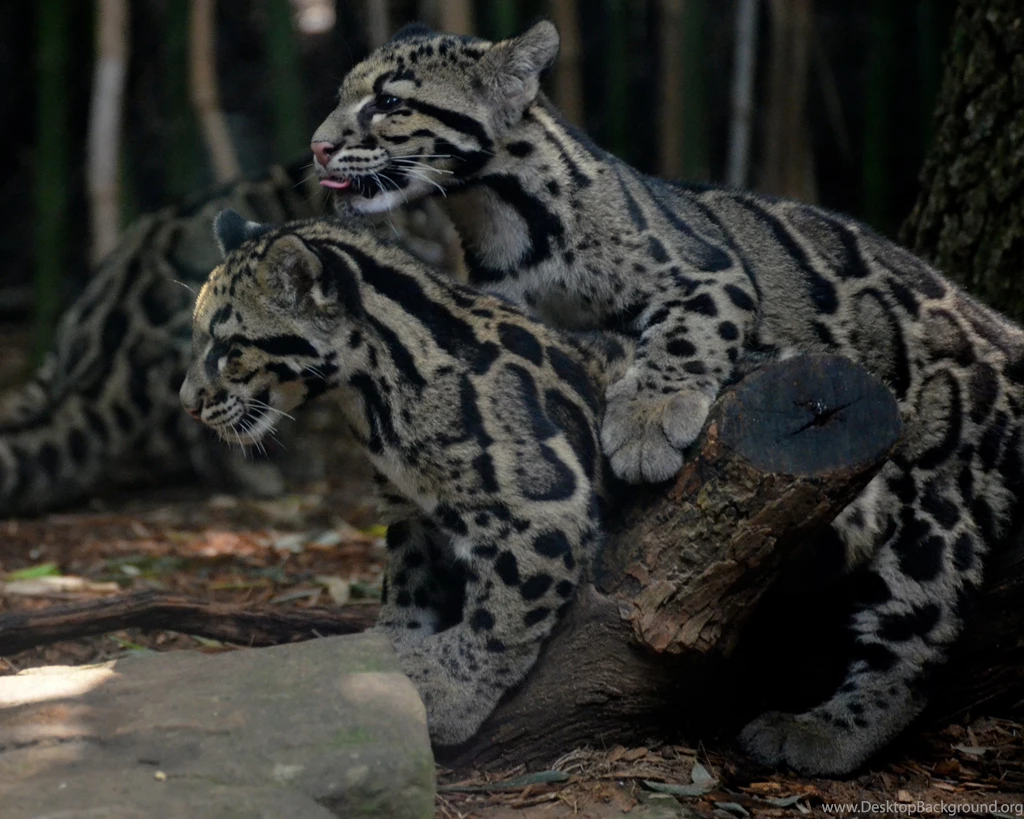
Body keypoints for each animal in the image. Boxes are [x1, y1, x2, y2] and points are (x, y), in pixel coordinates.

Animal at [179, 210, 630, 745]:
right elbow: (407, 580)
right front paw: (390, 645)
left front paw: (450, 693)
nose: (186, 403)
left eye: (229, 348)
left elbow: (505, 606)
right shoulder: (411, 509)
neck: (372, 395)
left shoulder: (544, 505)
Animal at [307, 21, 1024, 774]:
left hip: (942, 497)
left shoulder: (709, 275)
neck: (500, 217)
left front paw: (646, 422)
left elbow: (684, 336)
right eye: (343, 97)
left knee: (917, 635)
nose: (317, 147)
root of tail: (1003, 331)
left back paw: (825, 733)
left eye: (389, 103)